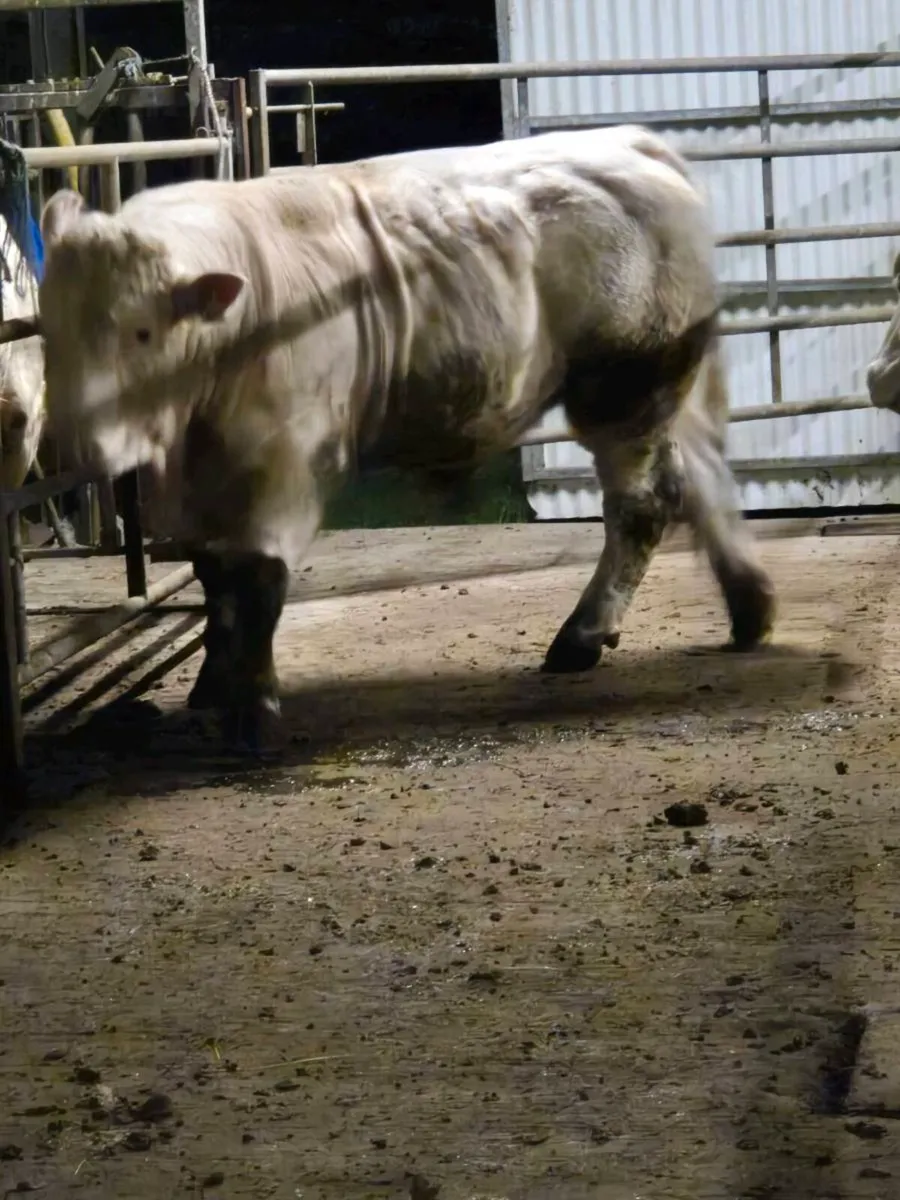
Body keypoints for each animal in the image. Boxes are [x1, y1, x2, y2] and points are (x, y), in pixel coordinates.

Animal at [36, 125, 776, 752]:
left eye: (141, 332)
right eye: (48, 326)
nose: (76, 447)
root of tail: (632, 144)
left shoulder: (284, 461)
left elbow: (260, 580)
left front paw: (254, 707)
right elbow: (215, 578)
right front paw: (213, 685)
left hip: (623, 387)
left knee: (642, 505)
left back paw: (583, 635)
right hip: (670, 391)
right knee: (705, 480)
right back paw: (749, 609)